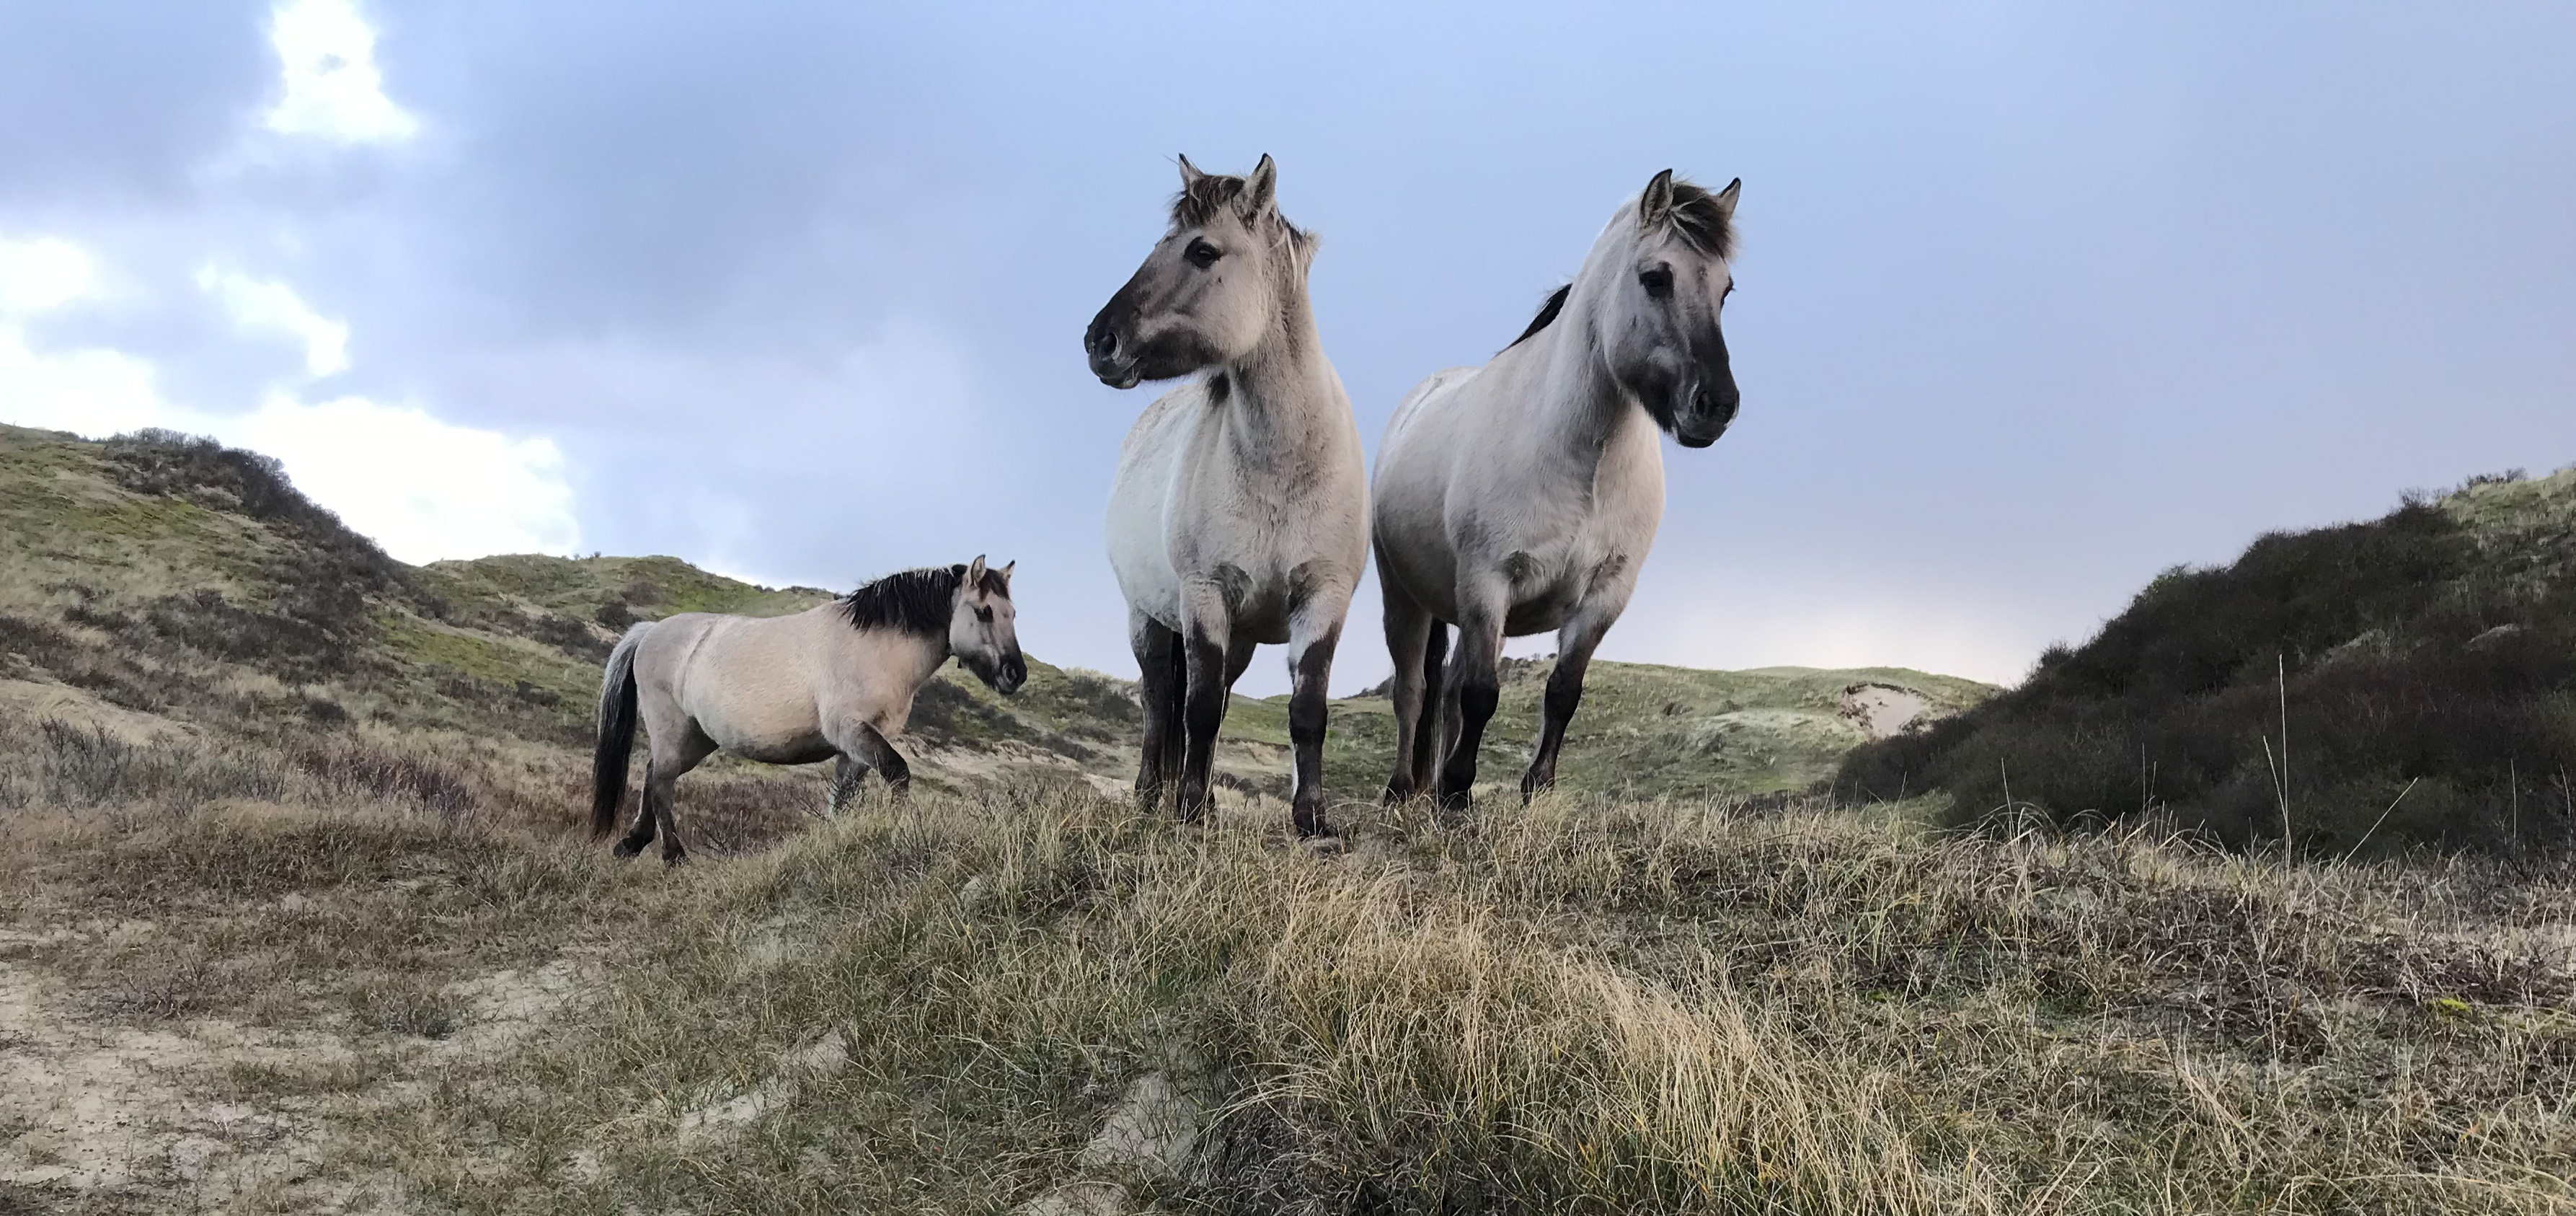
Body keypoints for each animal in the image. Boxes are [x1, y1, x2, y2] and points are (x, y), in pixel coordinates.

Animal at [590, 556, 1019, 860]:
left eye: (1012, 613)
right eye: (983, 611)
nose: (1015, 674)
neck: (877, 648)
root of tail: (651, 632)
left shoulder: (858, 745)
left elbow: (843, 798)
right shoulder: (851, 730)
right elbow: (898, 773)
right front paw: (898, 830)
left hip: (695, 739)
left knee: (652, 774)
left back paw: (633, 843)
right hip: (673, 729)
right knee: (662, 782)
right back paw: (673, 856)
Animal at [1081, 154, 1381, 834]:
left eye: (1202, 250)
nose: (1098, 342)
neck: (1283, 465)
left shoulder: (1322, 601)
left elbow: (1305, 711)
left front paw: (1311, 819)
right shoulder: (1204, 597)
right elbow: (1192, 711)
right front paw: (1188, 810)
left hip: (1239, 636)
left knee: (1210, 699)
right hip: (1147, 620)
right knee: (1159, 701)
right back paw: (1152, 794)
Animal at [1370, 168, 1751, 809]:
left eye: (1725, 290)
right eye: (1655, 278)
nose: (1715, 406)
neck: (1582, 464)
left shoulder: (1603, 597)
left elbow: (1562, 692)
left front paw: (1534, 789)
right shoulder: (1487, 584)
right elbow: (1481, 694)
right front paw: (1457, 788)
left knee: (1443, 692)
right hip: (1405, 598)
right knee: (1413, 691)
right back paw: (1405, 788)